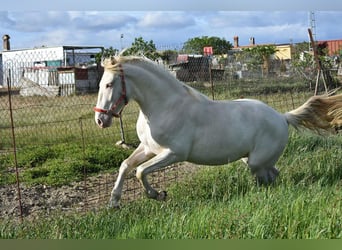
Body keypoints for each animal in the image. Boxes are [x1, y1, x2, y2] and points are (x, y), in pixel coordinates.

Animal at [93, 55, 342, 208]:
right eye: (101, 84)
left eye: (109, 84)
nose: (100, 120)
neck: (165, 106)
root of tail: (282, 117)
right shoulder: (148, 148)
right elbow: (126, 166)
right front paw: (114, 202)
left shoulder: (174, 153)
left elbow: (140, 171)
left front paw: (158, 195)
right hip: (252, 161)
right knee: (274, 175)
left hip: (257, 163)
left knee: (269, 178)